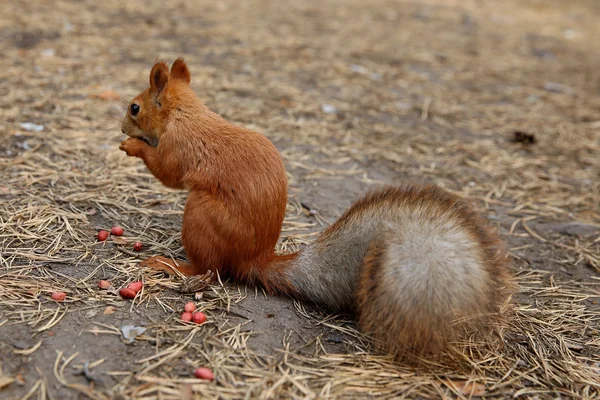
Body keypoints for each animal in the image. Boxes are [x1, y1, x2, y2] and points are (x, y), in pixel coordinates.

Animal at [119, 59, 512, 362]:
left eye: (135, 107)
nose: (122, 126)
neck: (185, 113)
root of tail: (254, 258)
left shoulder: (178, 148)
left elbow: (166, 171)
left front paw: (131, 146)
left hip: (201, 215)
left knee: (210, 269)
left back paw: (171, 265)